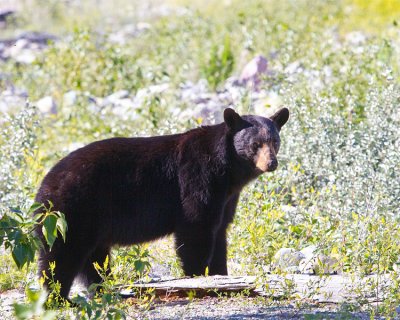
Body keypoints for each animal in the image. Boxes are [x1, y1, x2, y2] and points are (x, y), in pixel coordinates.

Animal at [36, 107, 290, 298]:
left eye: (274, 141)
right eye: (256, 144)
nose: (271, 163)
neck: (226, 167)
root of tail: (42, 188)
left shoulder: (227, 196)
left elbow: (220, 232)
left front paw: (222, 277)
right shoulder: (198, 176)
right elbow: (196, 227)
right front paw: (198, 281)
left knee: (95, 259)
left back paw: (102, 289)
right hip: (71, 212)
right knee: (60, 256)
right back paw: (57, 298)